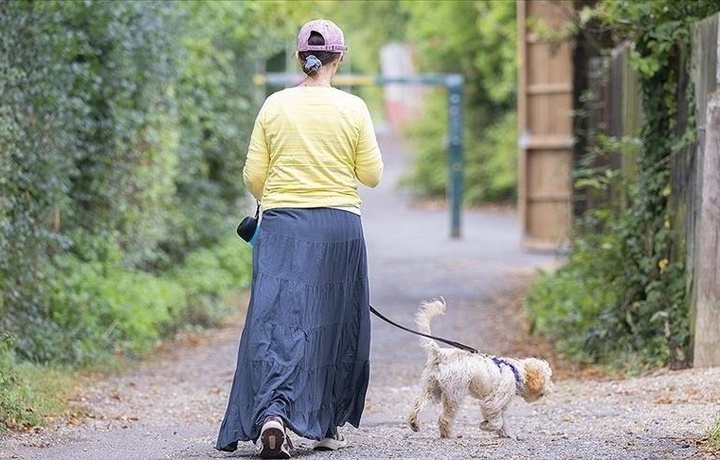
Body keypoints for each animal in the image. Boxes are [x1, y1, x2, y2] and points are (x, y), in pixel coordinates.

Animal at [408, 298, 556, 438]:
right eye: (548, 379)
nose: (551, 389)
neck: (515, 372)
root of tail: (440, 354)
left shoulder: (499, 406)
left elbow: (502, 421)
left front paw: (506, 434)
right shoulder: (492, 402)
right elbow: (497, 421)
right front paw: (486, 426)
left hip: (432, 390)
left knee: (418, 405)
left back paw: (414, 423)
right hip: (453, 396)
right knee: (444, 418)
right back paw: (448, 434)